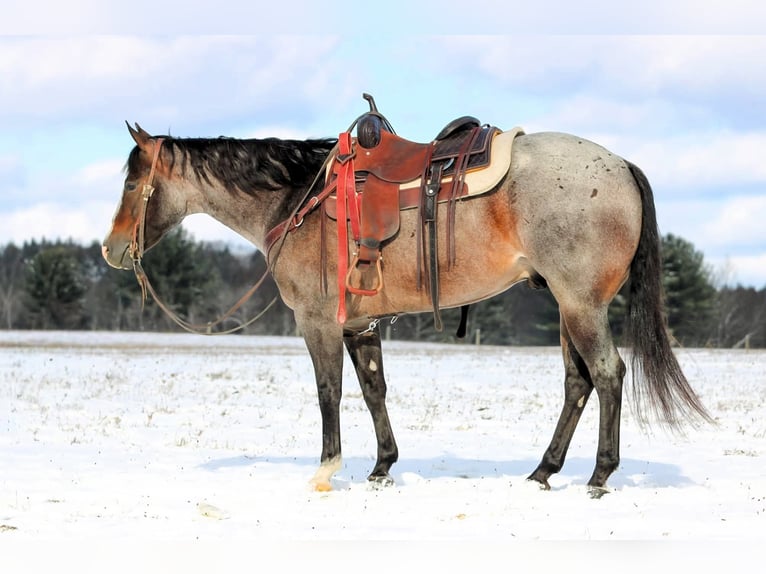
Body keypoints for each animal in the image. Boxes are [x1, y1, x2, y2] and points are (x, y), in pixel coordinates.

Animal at [102, 114, 712, 495]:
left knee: (607, 374)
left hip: (581, 306)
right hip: (568, 308)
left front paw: (326, 470)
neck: (298, 197)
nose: (112, 250)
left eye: (132, 185)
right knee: (577, 383)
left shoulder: (317, 322)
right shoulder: (361, 325)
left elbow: (329, 393)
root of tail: (621, 165)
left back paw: (599, 477)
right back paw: (544, 471)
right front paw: (381, 467)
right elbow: (374, 390)